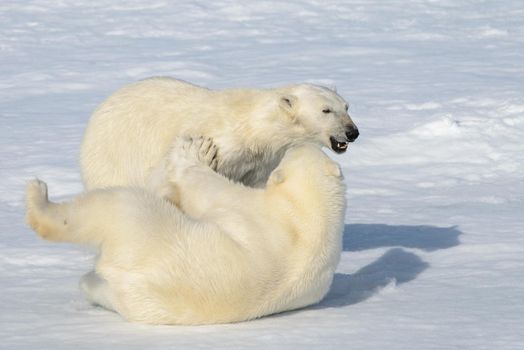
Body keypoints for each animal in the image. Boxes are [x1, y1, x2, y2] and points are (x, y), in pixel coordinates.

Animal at [25, 139, 348, 326]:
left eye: (291, 153)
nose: (290, 146)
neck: (311, 216)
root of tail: (127, 278)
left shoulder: (255, 210)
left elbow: (211, 191)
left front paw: (195, 153)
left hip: (141, 226)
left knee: (112, 204)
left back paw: (38, 196)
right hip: (136, 303)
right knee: (97, 286)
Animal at [81, 77, 360, 189]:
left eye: (346, 107)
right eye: (326, 110)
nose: (352, 132)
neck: (254, 128)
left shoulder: (259, 164)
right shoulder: (223, 142)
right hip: (114, 155)